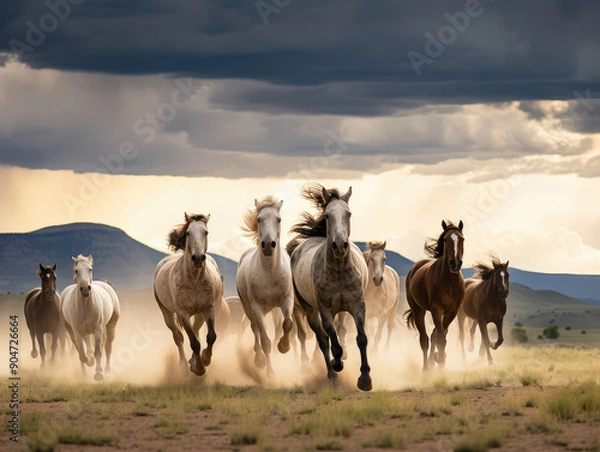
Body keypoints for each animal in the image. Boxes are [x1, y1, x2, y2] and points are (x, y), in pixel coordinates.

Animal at [152, 214, 223, 376]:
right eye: (188, 233)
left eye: (206, 232)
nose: (198, 258)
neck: (194, 279)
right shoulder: (183, 313)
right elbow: (194, 343)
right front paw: (200, 369)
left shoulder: (208, 308)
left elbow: (211, 336)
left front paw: (205, 359)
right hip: (167, 314)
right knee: (178, 337)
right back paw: (184, 365)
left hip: (199, 314)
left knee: (196, 330)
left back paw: (192, 361)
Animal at [238, 196, 296, 376]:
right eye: (259, 219)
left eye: (278, 219)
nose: (268, 245)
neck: (270, 272)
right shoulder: (257, 307)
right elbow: (265, 341)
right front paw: (269, 372)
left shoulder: (287, 300)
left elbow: (288, 323)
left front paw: (284, 346)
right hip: (248, 307)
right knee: (255, 328)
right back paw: (258, 359)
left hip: (274, 309)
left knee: (277, 326)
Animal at [286, 185, 370, 390]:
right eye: (327, 215)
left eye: (348, 214)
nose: (340, 245)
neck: (338, 270)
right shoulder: (325, 309)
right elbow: (333, 342)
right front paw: (337, 363)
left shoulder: (357, 305)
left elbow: (361, 339)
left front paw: (365, 379)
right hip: (310, 310)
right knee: (323, 339)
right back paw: (332, 376)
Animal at [406, 219, 466, 370]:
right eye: (445, 239)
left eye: (462, 239)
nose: (455, 263)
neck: (449, 282)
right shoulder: (436, 309)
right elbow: (440, 338)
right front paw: (439, 359)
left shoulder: (452, 312)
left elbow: (441, 335)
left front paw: (439, 360)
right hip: (418, 310)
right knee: (424, 338)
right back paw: (426, 368)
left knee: (433, 335)